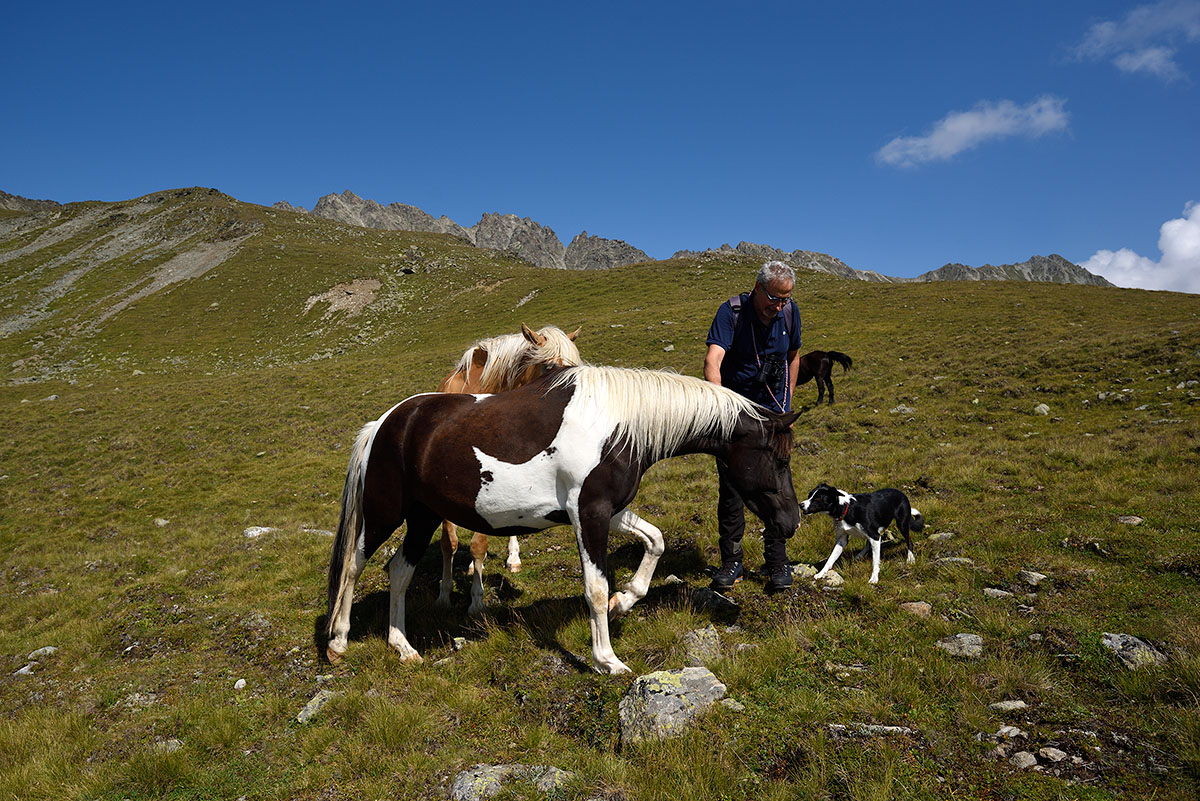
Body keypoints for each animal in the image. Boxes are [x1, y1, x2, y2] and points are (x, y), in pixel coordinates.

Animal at [324, 366, 801, 671]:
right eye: (778, 459)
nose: (792, 522)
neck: (617, 425)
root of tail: (385, 423)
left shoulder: (609, 511)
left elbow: (655, 542)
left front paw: (624, 601)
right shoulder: (588, 514)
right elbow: (595, 587)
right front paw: (607, 660)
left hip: (423, 517)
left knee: (398, 571)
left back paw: (403, 647)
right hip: (385, 513)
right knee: (354, 565)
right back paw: (339, 642)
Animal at [436, 321, 580, 613]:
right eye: (548, 367)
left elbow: (479, 544)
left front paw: (476, 599)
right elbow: (449, 542)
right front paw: (444, 594)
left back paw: (512, 558)